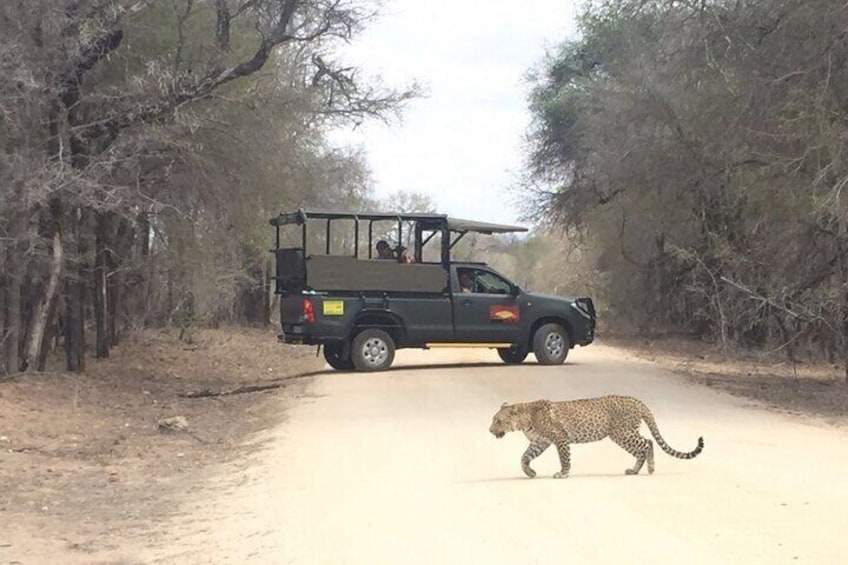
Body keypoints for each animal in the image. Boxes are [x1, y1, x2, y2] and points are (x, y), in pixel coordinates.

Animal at [486, 394, 704, 478]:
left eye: (498, 421)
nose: (489, 430)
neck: (525, 420)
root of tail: (638, 401)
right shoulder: (540, 443)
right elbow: (524, 458)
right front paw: (530, 473)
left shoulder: (560, 438)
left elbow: (564, 458)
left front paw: (563, 474)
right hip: (624, 434)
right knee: (643, 446)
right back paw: (634, 470)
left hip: (621, 433)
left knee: (647, 443)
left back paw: (650, 469)